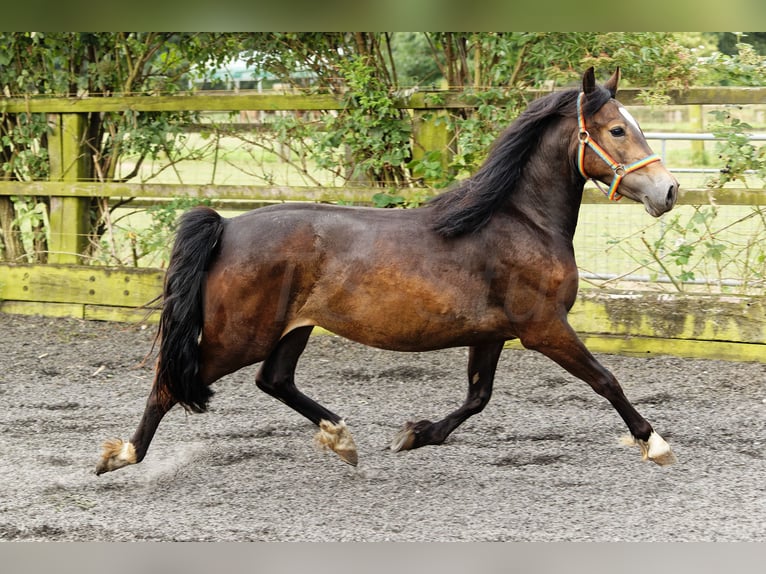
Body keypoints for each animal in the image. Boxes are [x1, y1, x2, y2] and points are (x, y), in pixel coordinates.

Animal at [96, 67, 679, 475]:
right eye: (617, 129)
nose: (669, 191)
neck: (519, 221)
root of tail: (227, 226)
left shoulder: (492, 333)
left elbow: (477, 397)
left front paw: (415, 435)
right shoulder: (544, 328)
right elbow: (605, 379)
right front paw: (654, 443)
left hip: (292, 328)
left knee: (273, 380)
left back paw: (342, 439)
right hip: (239, 335)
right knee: (171, 382)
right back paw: (121, 456)